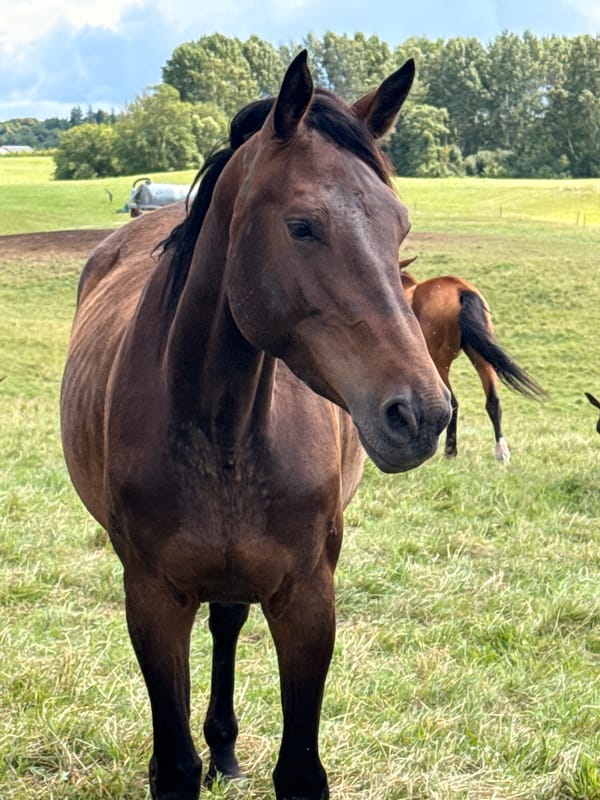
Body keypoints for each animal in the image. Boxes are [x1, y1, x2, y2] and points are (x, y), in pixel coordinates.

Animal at [60, 52, 451, 800]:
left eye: (400, 229)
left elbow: (299, 770)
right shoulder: (152, 599)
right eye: (302, 225)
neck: (224, 428)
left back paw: (226, 748)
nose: (423, 413)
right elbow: (174, 766)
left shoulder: (308, 598)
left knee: (228, 621)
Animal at [400, 260, 545, 461]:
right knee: (493, 401)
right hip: (481, 357)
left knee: (452, 402)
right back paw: (501, 452)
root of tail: (460, 288)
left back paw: (450, 451)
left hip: (439, 362)